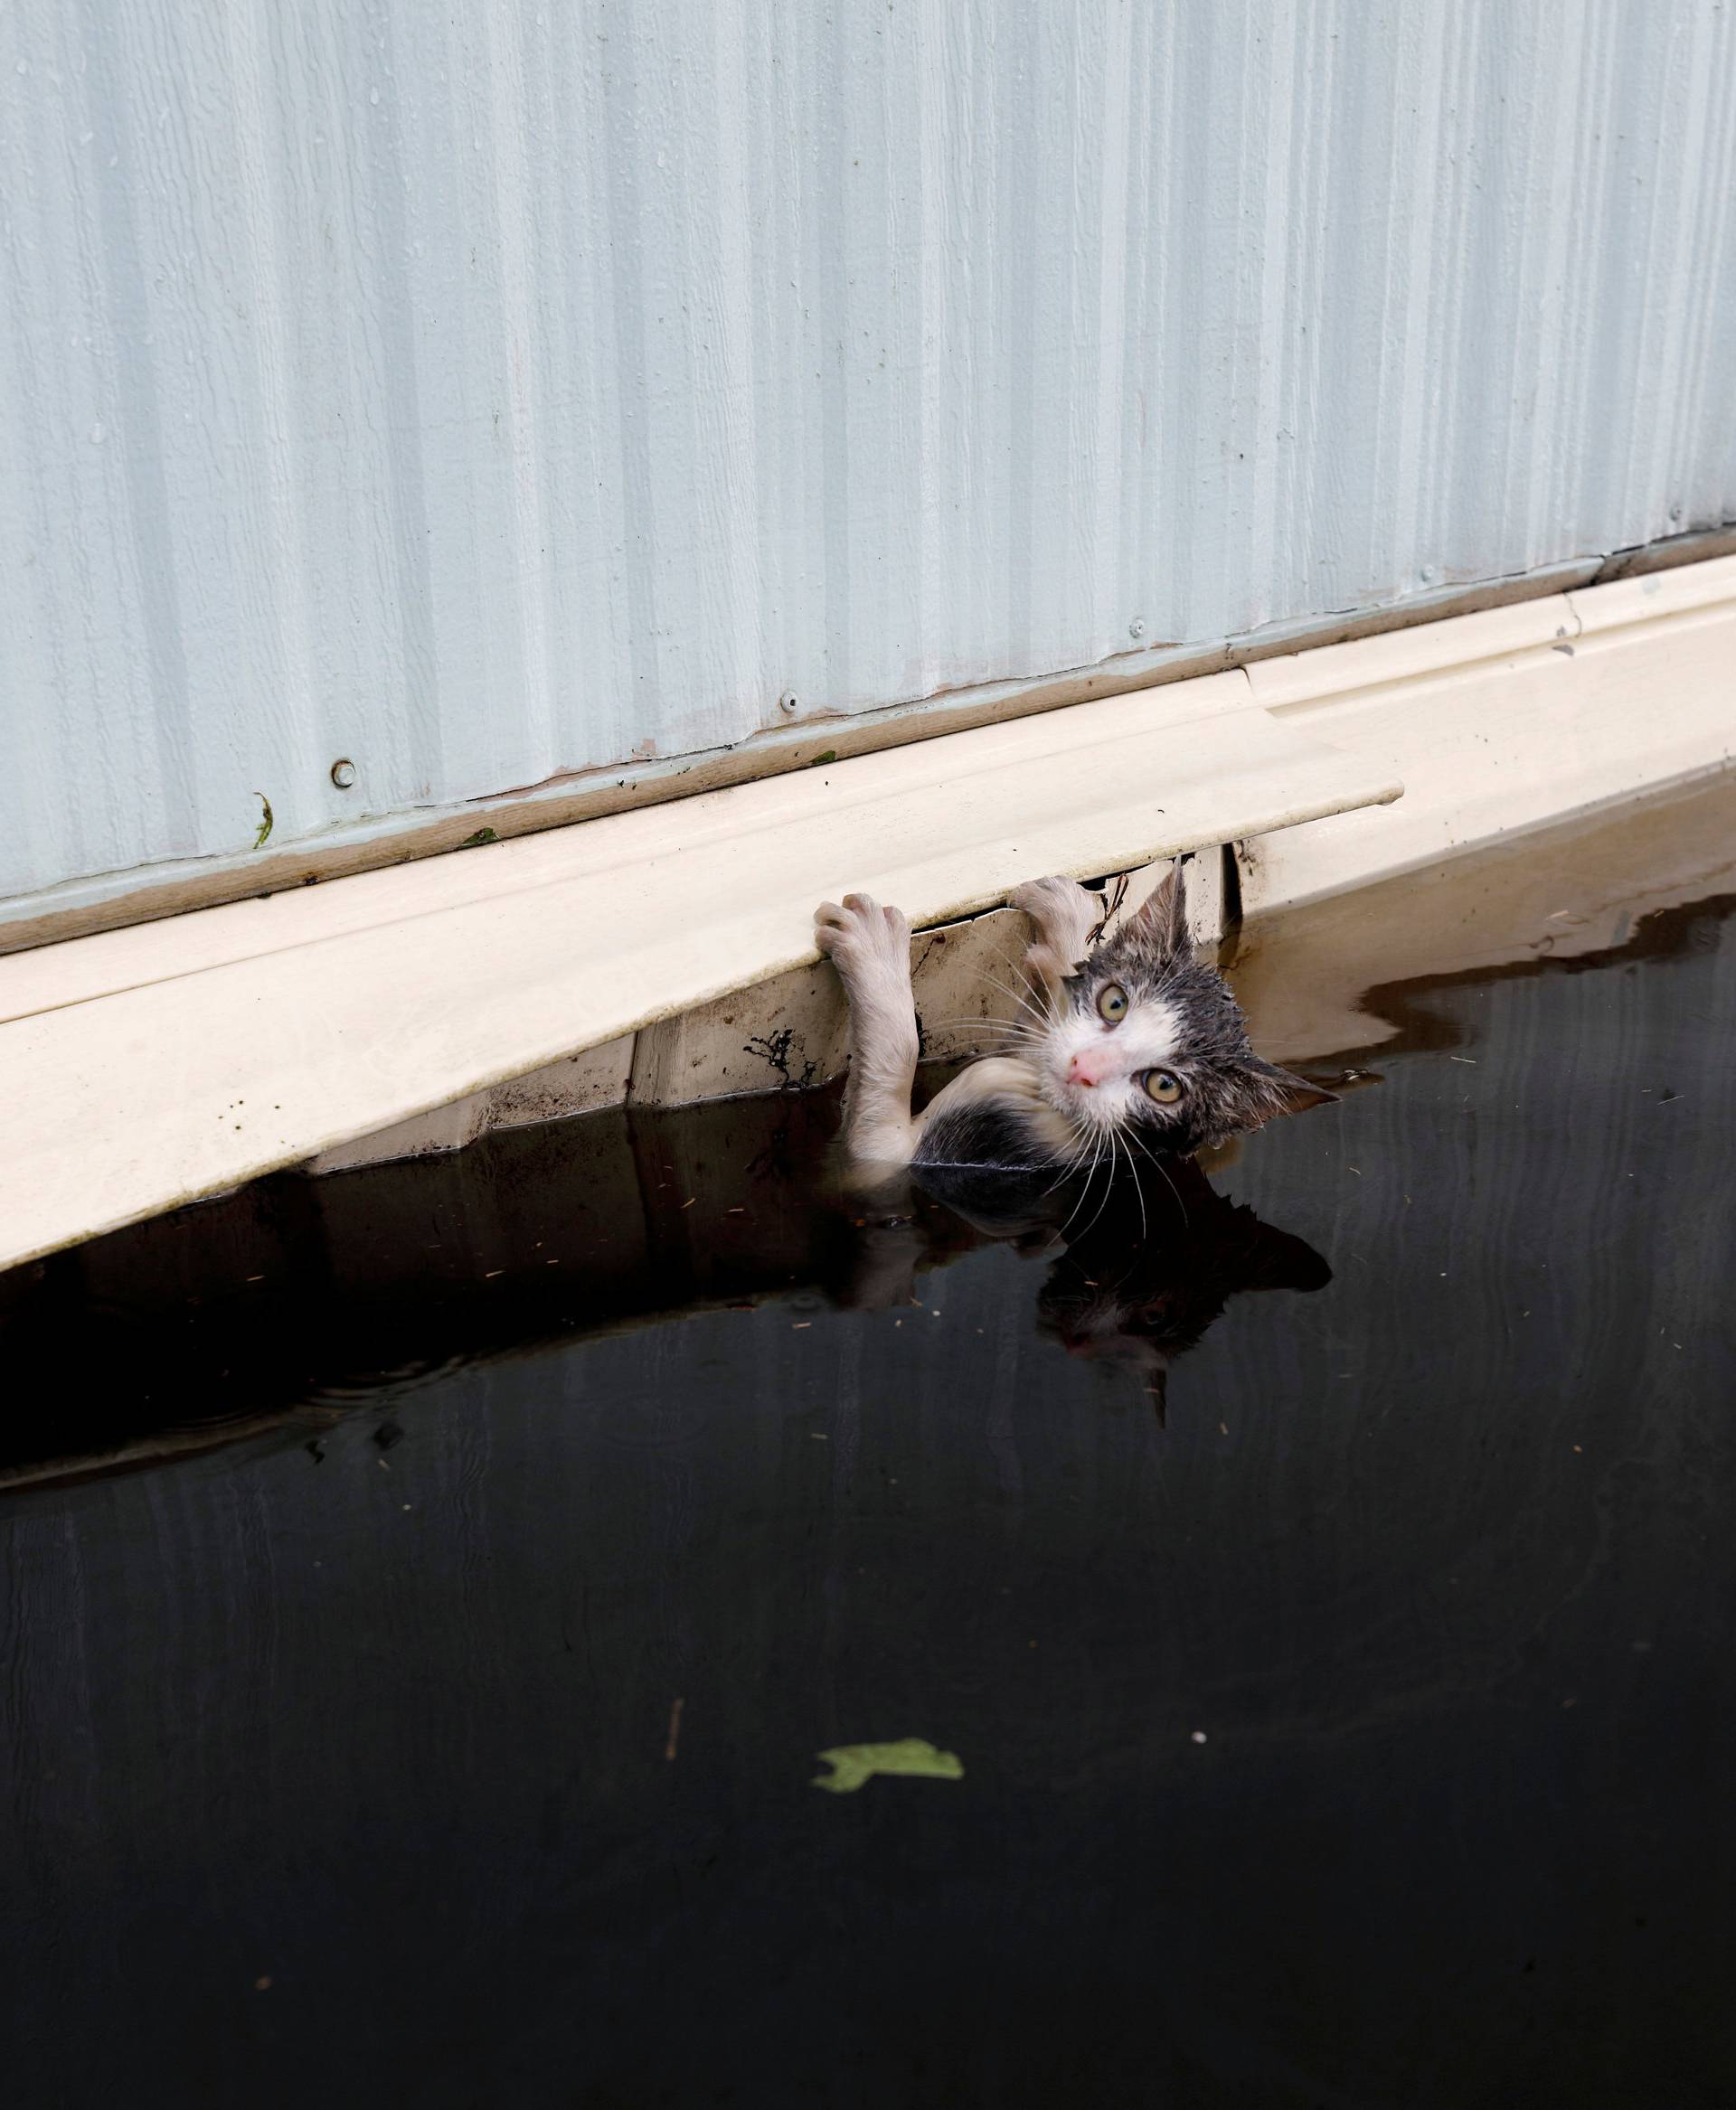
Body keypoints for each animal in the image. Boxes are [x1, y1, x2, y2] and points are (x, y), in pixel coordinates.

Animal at [814, 864, 1333, 1182]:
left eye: (1164, 1087)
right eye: (1114, 1003)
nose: (1084, 1067)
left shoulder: (914, 1159)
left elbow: (884, 1099)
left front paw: (873, 949)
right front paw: (1065, 919)